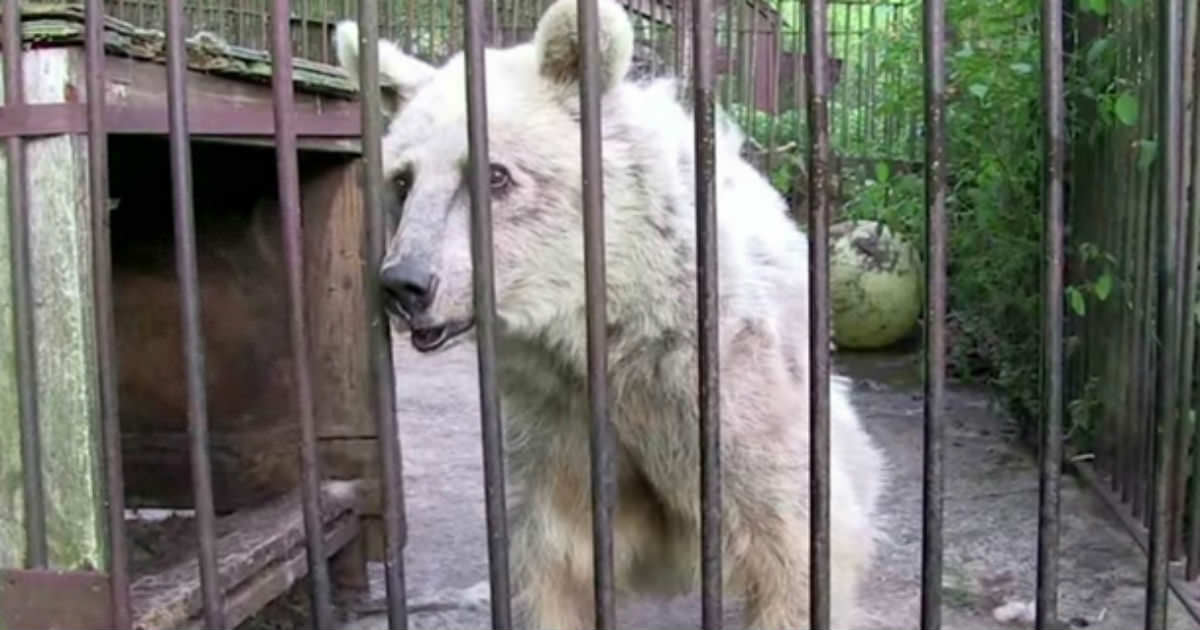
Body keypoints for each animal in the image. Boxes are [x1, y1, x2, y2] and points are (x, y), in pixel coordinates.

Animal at [333, 0, 888, 624]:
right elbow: (554, 564)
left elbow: (794, 547)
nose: (404, 284)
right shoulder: (556, 425)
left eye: (495, 174)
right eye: (403, 180)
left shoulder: (731, 390)